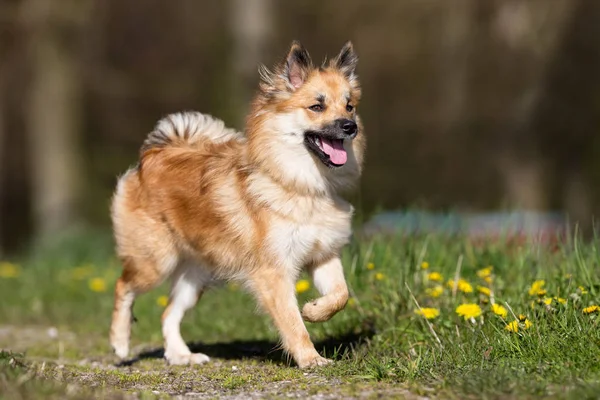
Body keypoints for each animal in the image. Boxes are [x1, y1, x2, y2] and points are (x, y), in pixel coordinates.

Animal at [110, 40, 368, 368]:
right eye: (317, 107)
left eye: (349, 106)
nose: (350, 126)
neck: (303, 185)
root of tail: (153, 156)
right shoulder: (274, 271)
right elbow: (292, 322)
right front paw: (310, 358)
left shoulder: (323, 255)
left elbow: (340, 295)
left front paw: (314, 310)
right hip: (156, 259)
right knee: (124, 286)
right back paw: (120, 343)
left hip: (196, 275)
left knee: (169, 312)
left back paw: (181, 355)